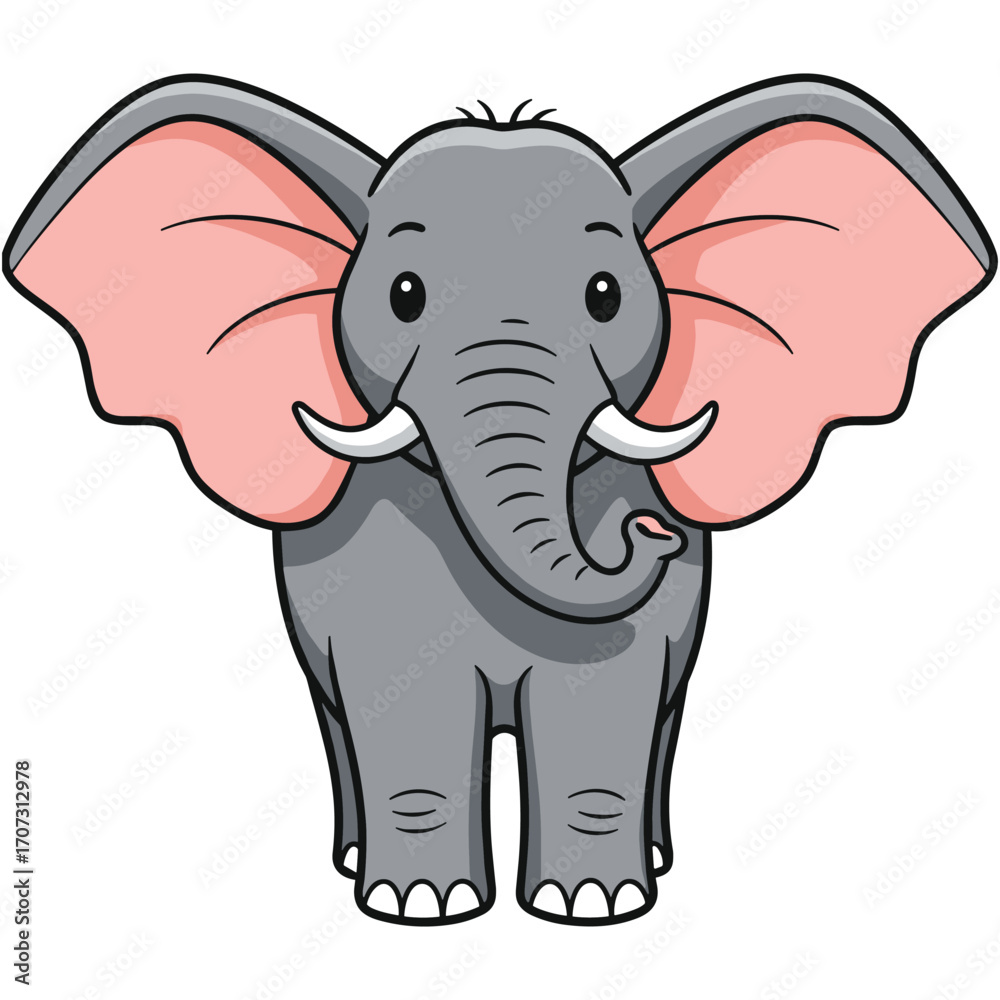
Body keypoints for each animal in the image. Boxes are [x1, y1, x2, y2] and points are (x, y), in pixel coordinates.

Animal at [5, 73, 994, 925]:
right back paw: (354, 859)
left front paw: (591, 906)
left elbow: (606, 696)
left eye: (606, 295)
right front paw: (419, 907)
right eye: (404, 295)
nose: (651, 530)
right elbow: (403, 693)